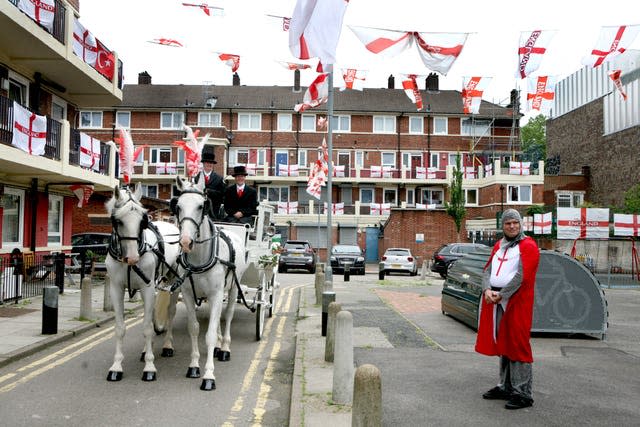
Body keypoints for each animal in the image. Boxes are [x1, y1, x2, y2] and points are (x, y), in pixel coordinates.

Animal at [104, 186, 180, 382]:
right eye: (118, 221)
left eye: (142, 221)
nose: (133, 258)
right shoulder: (116, 288)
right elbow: (120, 328)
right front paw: (116, 366)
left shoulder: (147, 288)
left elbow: (146, 328)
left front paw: (149, 367)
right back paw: (146, 349)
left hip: (174, 279)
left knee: (170, 312)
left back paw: (167, 345)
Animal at [169, 175, 249, 392]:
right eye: (178, 206)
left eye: (200, 206)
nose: (185, 242)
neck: (199, 257)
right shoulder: (189, 294)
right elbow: (194, 328)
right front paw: (194, 366)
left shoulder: (216, 293)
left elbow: (210, 334)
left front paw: (209, 375)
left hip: (232, 288)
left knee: (227, 315)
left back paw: (225, 347)